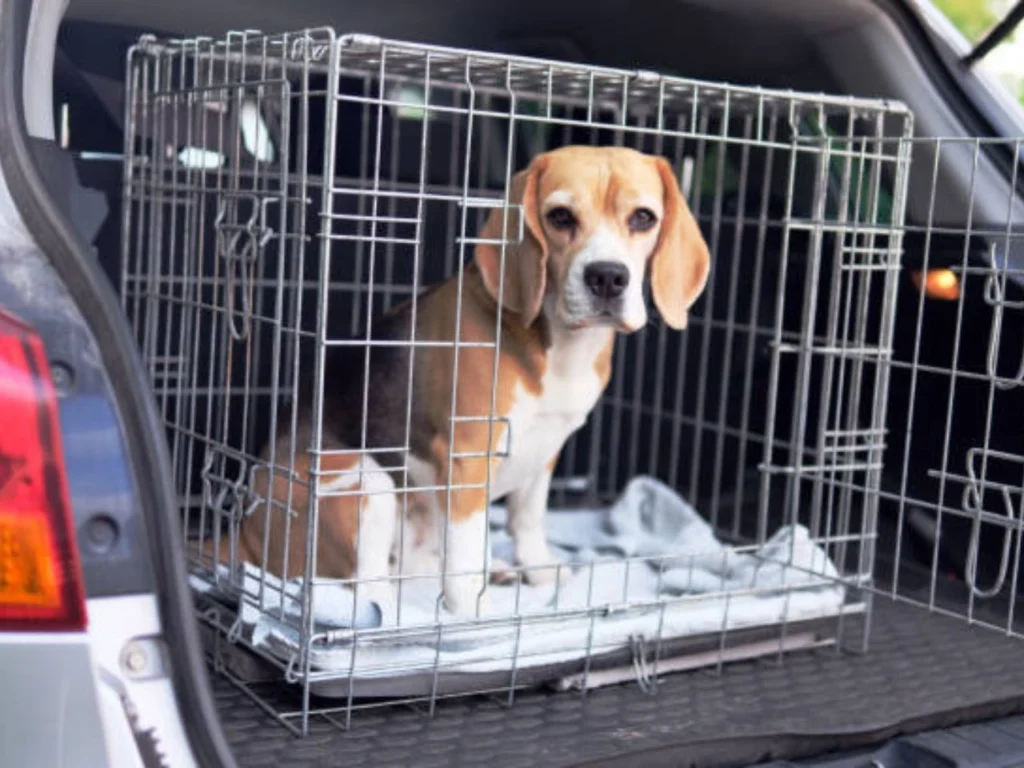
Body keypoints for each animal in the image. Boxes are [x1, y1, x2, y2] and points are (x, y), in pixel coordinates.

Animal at [222, 145, 712, 618]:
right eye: (560, 217)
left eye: (643, 218)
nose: (608, 276)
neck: (557, 346)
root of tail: (243, 532)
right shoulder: (468, 456)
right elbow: (465, 549)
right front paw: (472, 612)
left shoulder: (548, 448)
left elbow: (526, 518)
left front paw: (537, 569)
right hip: (367, 482)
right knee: (368, 588)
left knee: (414, 569)